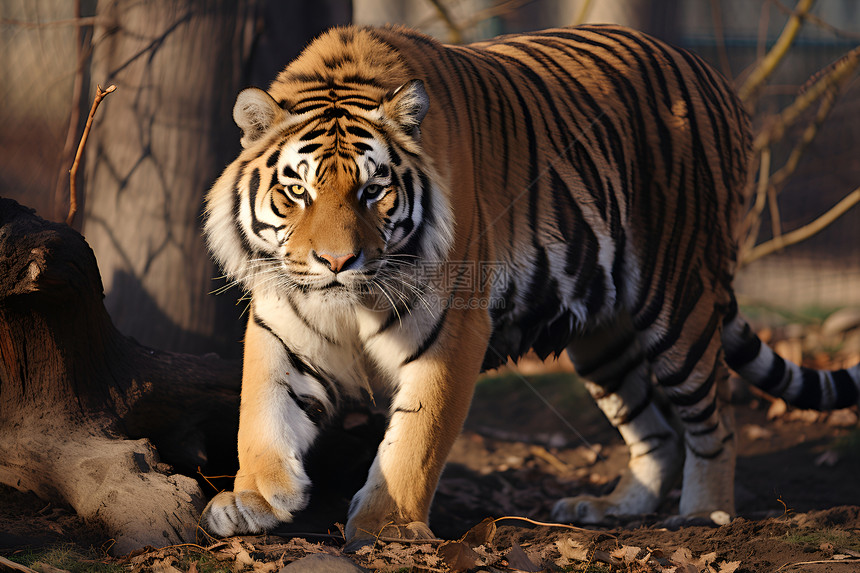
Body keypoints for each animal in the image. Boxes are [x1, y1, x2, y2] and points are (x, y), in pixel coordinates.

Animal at [203, 24, 860, 544]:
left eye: (373, 190)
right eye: (296, 191)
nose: (337, 261)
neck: (351, 301)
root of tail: (715, 77)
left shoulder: (453, 325)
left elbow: (416, 438)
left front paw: (386, 528)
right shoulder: (281, 320)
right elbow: (261, 411)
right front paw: (253, 498)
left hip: (679, 299)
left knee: (712, 419)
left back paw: (704, 515)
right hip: (604, 338)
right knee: (654, 431)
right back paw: (613, 507)